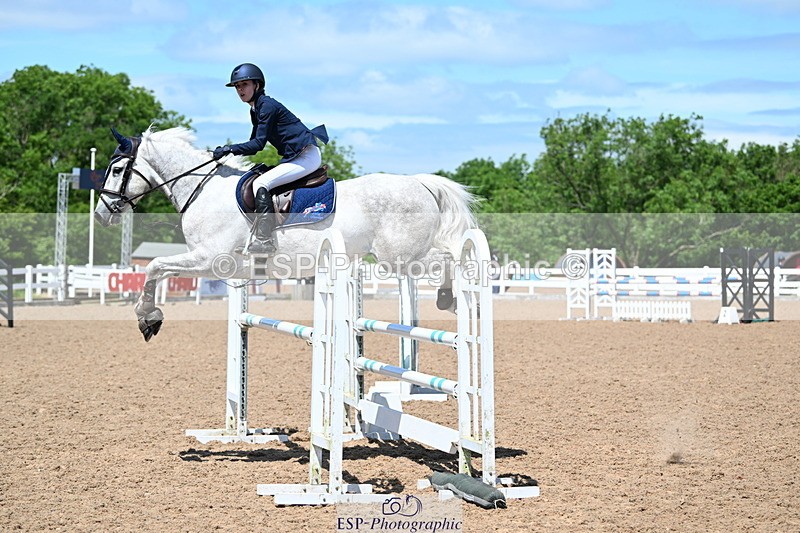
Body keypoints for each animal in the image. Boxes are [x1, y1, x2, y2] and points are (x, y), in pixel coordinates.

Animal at [94, 127, 478, 341]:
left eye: (117, 169)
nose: (101, 214)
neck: (203, 188)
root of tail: (420, 183)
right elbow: (158, 269)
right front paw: (150, 317)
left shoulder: (210, 260)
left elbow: (154, 266)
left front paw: (148, 318)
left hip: (398, 257)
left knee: (449, 255)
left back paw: (450, 299)